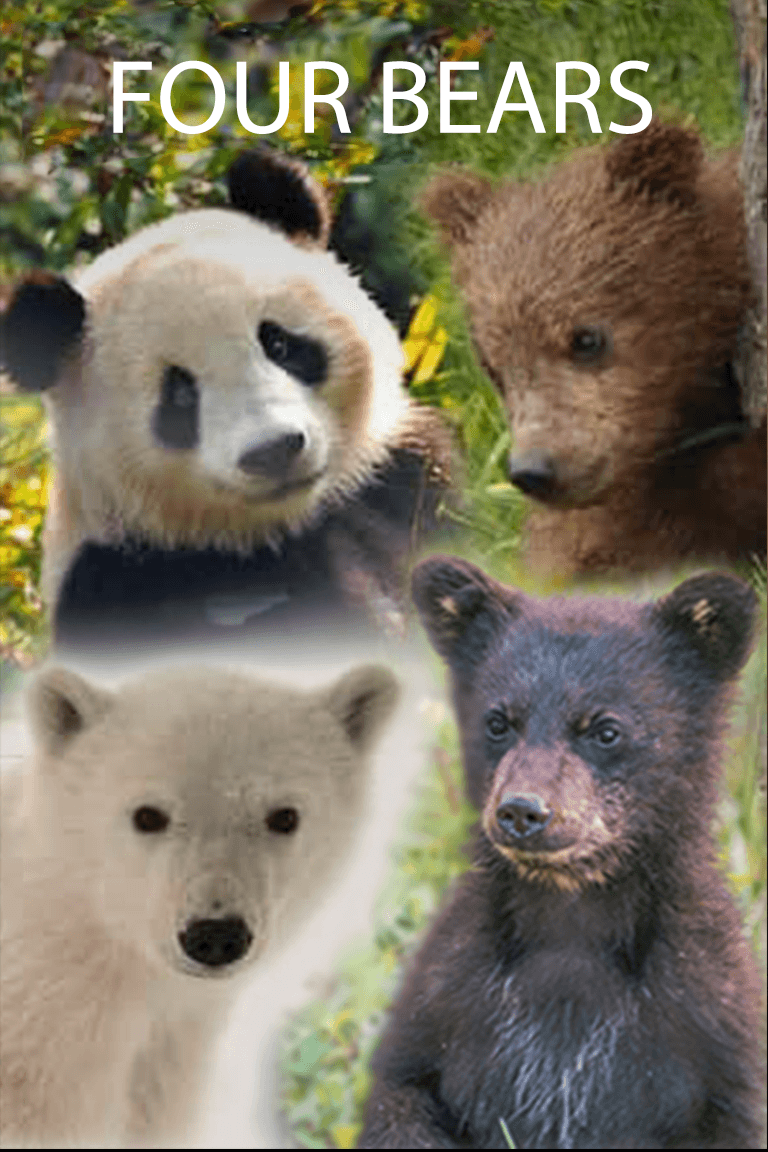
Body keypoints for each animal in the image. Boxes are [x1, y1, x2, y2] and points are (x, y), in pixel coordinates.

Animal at [358, 556, 764, 1149]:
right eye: (498, 721)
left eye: (605, 729)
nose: (522, 811)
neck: (571, 917)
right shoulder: (446, 1003)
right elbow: (402, 1098)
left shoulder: (709, 1029)